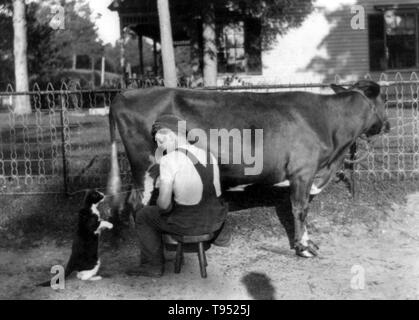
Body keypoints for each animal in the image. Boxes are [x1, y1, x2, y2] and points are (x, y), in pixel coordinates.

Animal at [107, 79, 390, 258]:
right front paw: (303, 247)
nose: (388, 125)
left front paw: (308, 243)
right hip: (144, 166)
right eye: (384, 100)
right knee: (137, 204)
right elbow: (300, 210)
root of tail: (125, 94)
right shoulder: (303, 172)